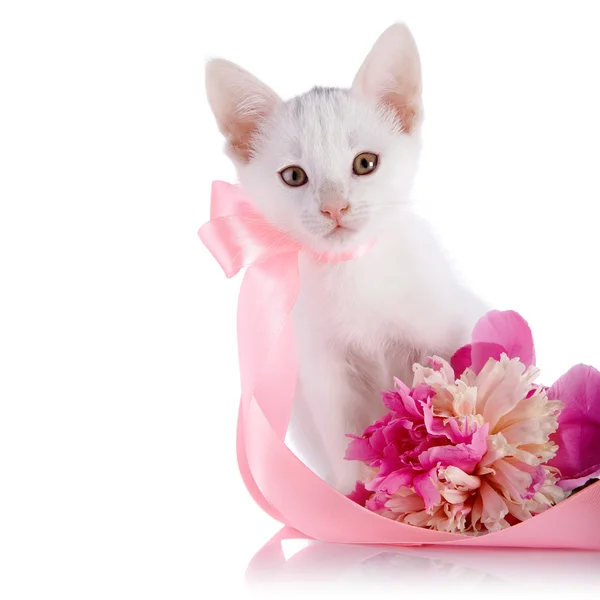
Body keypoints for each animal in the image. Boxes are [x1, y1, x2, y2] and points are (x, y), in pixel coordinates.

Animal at [206, 23, 488, 492]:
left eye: (365, 163)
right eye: (294, 176)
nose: (334, 207)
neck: (353, 274)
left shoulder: (445, 333)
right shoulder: (327, 375)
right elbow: (348, 448)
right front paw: (354, 499)